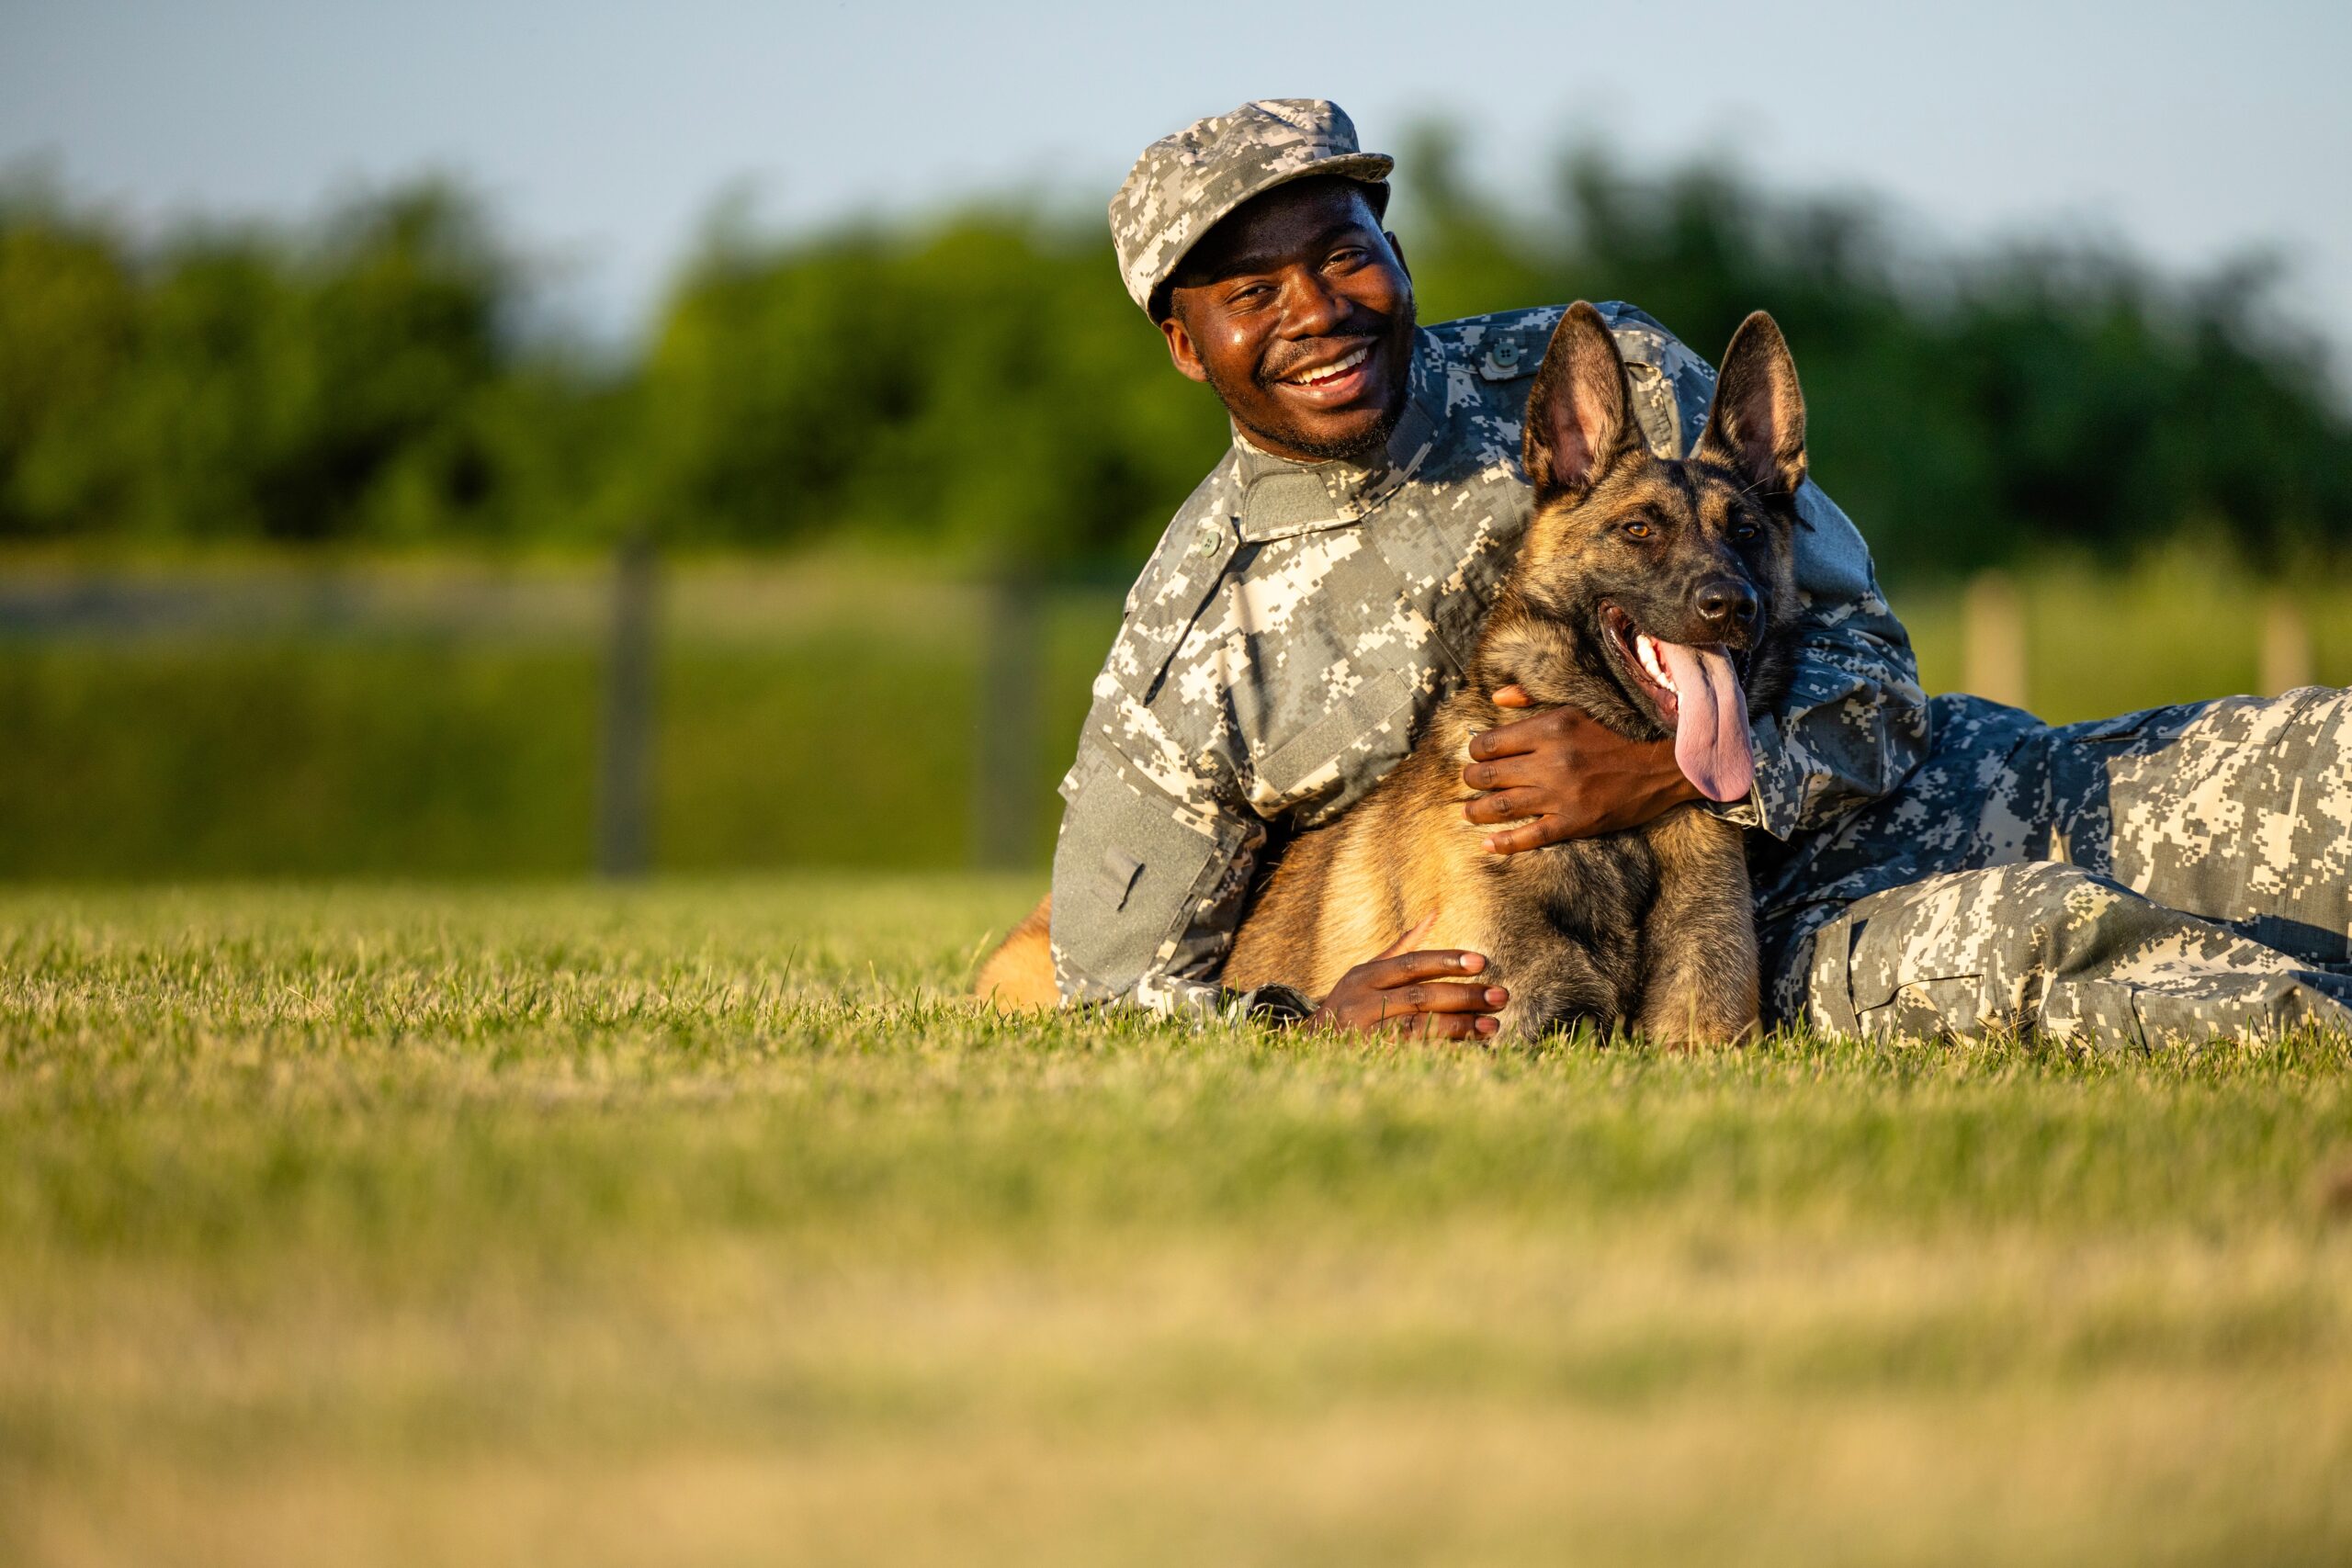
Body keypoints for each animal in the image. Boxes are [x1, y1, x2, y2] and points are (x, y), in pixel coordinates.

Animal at [983, 303, 1806, 1048]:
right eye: (1638, 529)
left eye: (1745, 531)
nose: (1730, 604)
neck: (1626, 835)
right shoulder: (1510, 1028)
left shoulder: (1706, 1039)